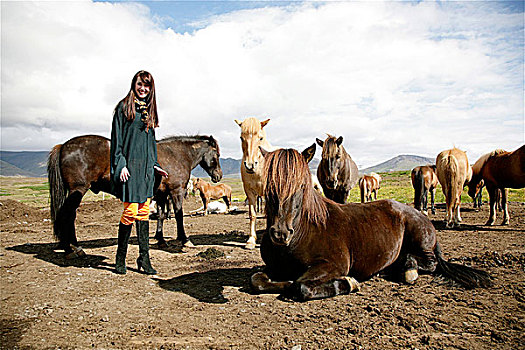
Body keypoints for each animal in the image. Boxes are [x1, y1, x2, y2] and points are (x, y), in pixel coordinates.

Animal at [47, 134, 221, 258]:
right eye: (217, 154)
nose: (218, 175)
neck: (176, 155)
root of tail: (63, 146)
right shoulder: (175, 191)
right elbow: (179, 215)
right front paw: (185, 240)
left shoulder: (161, 195)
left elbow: (161, 216)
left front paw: (161, 240)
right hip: (77, 191)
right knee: (67, 216)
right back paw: (73, 248)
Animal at [250, 145, 492, 300]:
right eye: (269, 184)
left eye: (301, 185)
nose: (280, 233)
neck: (304, 232)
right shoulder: (272, 268)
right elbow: (258, 279)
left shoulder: (334, 264)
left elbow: (300, 286)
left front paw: (348, 283)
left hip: (421, 241)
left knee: (429, 262)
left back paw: (408, 269)